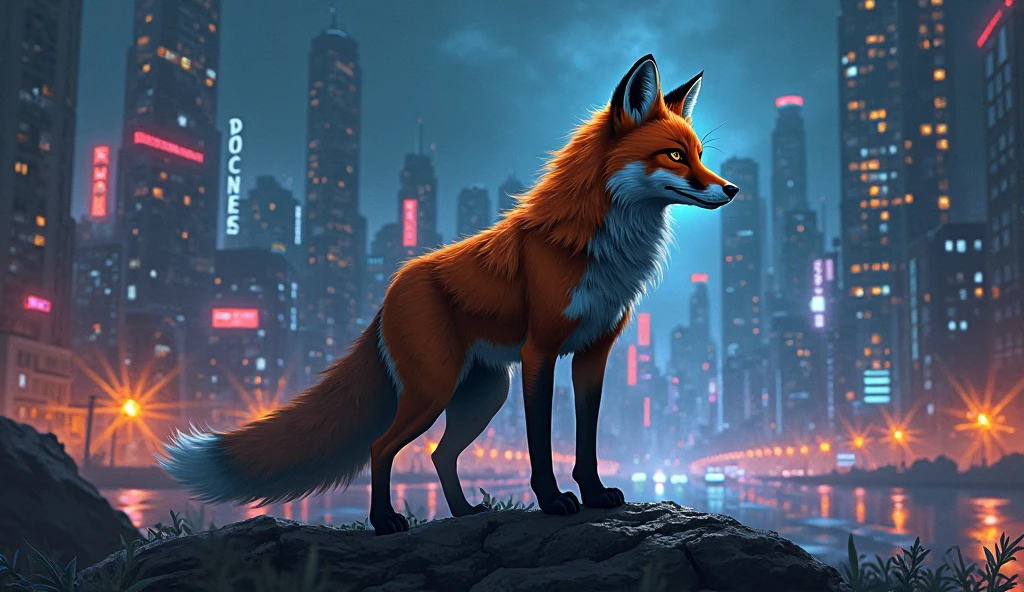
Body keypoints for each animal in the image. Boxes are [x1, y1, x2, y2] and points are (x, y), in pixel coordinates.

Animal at [160, 54, 738, 535]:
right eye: (673, 155)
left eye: (699, 155)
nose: (731, 189)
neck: (599, 247)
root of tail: (390, 291)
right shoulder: (540, 352)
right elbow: (539, 442)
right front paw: (554, 501)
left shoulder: (593, 355)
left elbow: (588, 440)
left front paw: (594, 495)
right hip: (434, 391)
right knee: (381, 446)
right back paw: (385, 522)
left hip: (483, 394)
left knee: (439, 454)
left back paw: (461, 513)